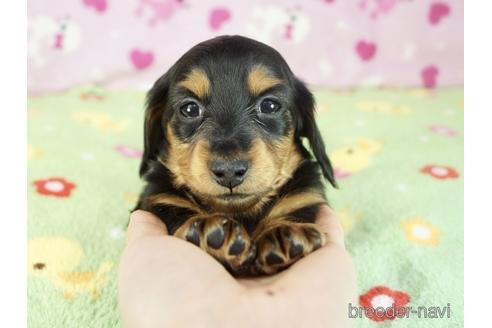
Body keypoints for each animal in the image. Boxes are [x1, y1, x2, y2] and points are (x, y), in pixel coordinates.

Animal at [135, 35, 336, 276]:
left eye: (269, 105)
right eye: (190, 109)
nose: (229, 171)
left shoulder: (301, 199)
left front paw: (283, 233)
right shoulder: (162, 199)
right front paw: (207, 232)